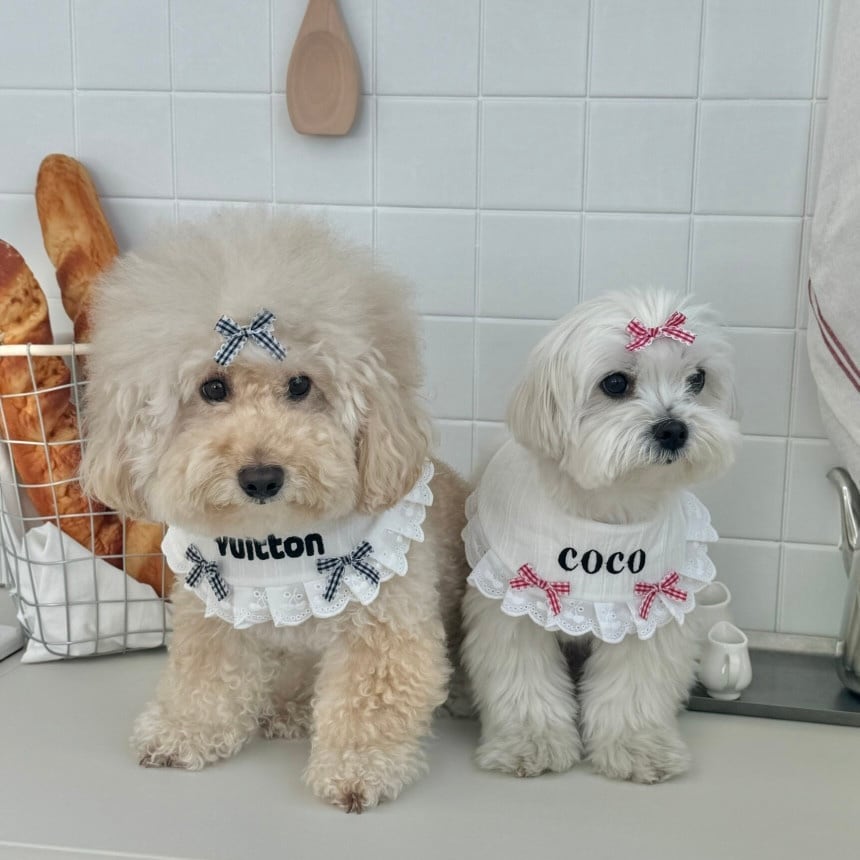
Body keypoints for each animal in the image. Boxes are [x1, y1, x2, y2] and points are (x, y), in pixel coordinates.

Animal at [80, 211, 470, 812]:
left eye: (301, 384)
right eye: (213, 388)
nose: (261, 477)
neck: (277, 541)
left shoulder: (384, 628)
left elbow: (370, 701)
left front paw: (357, 769)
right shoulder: (213, 616)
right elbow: (202, 677)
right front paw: (180, 731)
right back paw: (285, 709)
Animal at [461, 289, 740, 783]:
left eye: (698, 378)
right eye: (614, 383)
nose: (674, 429)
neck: (607, 509)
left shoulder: (646, 608)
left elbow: (635, 684)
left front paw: (639, 747)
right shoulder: (513, 600)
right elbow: (522, 675)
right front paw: (529, 743)